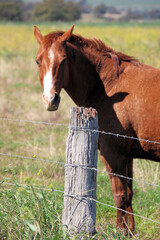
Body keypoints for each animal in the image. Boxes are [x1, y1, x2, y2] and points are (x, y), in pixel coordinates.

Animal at [34, 25, 160, 234]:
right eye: (38, 60)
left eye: (64, 59)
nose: (50, 99)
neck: (109, 86)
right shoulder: (127, 156)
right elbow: (129, 194)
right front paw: (129, 233)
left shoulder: (113, 154)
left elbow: (120, 195)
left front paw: (120, 233)